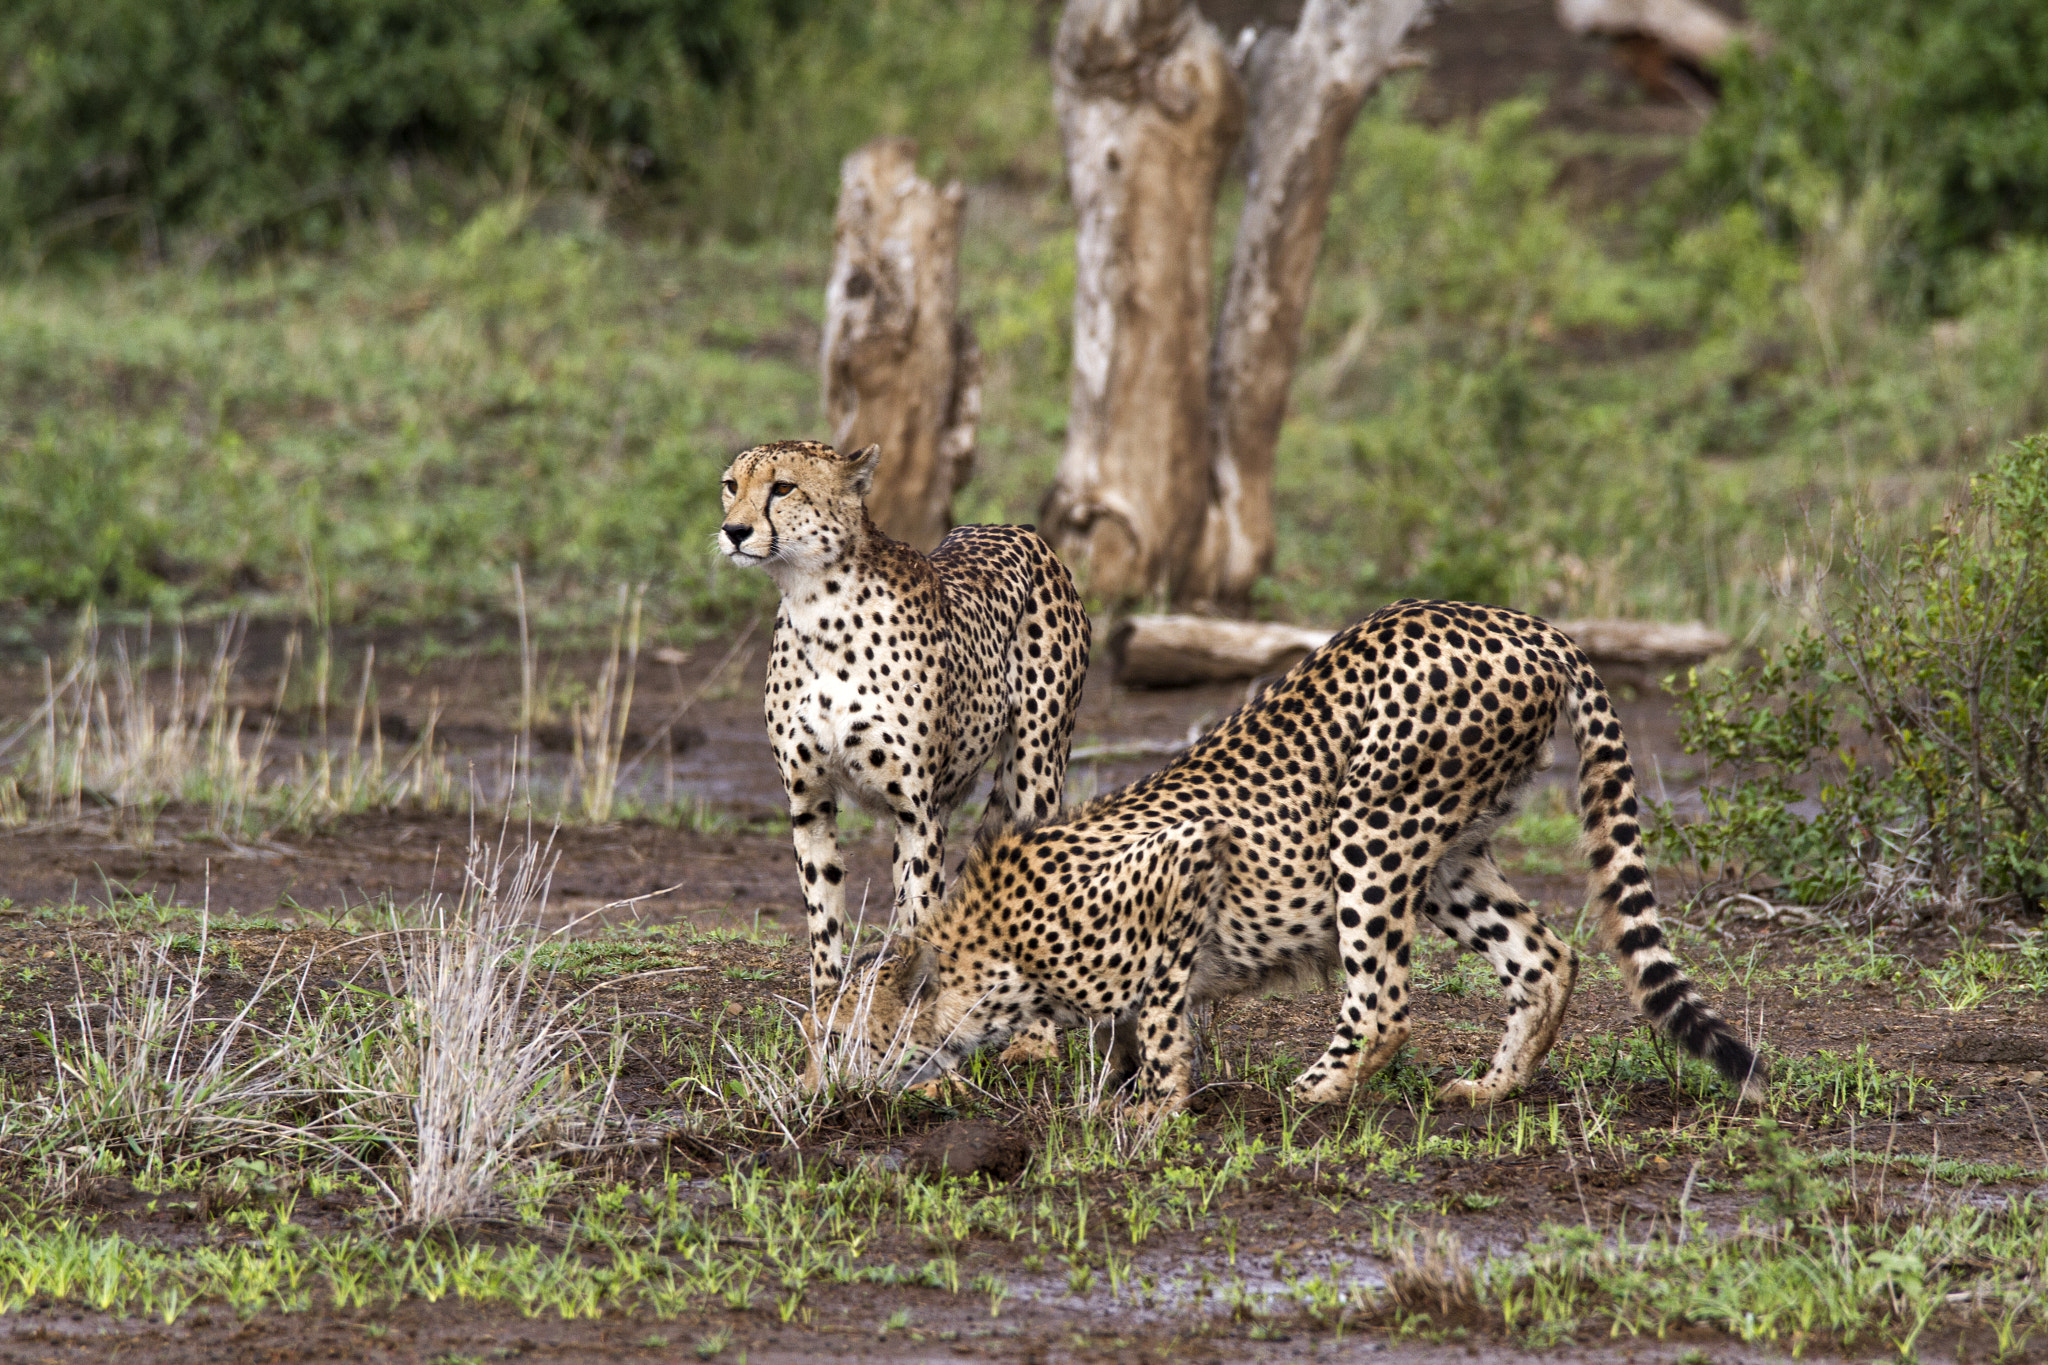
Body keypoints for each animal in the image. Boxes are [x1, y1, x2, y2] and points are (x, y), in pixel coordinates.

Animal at [718, 439, 1091, 1048]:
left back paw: (1034, 1041)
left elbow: (919, 917)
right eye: (732, 485)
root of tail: (1015, 527)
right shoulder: (808, 804)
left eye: (783, 488)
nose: (734, 531)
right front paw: (826, 1014)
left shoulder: (919, 811)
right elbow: (824, 916)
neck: (815, 604)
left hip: (1037, 767)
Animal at [800, 598, 1766, 1113]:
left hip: (1372, 830)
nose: (811, 1083)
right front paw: (1116, 1086)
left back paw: (1312, 1092)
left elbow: (1161, 1010)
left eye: (841, 1035)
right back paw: (1492, 1089)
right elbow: (1119, 1029)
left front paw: (1155, 1107)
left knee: (1385, 1003)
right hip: (1447, 856)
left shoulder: (1187, 859)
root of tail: (1523, 622)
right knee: (1545, 955)